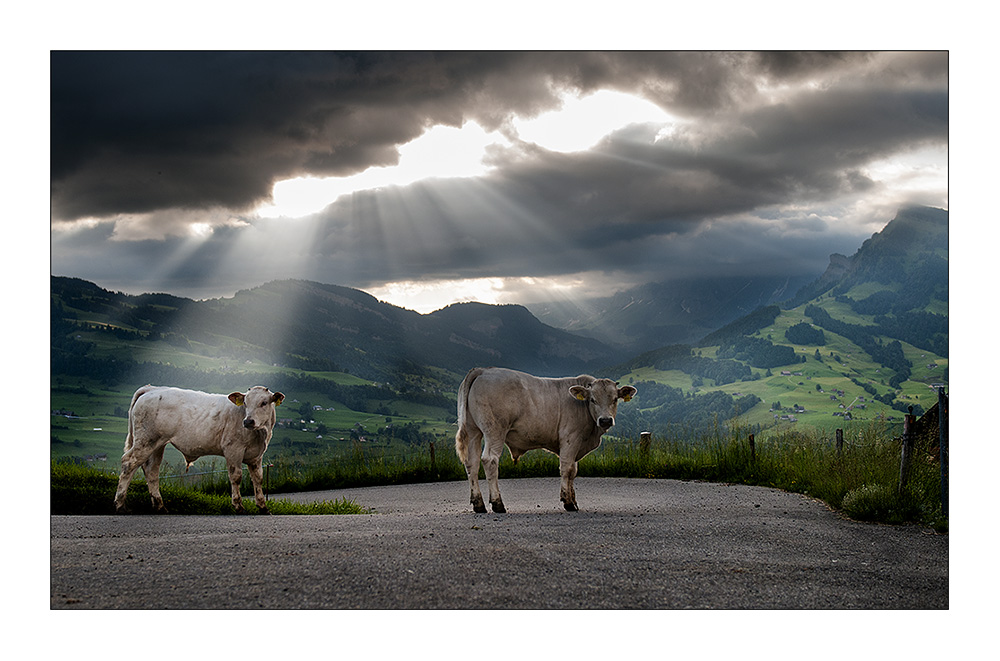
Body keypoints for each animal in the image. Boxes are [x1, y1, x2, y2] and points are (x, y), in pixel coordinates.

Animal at [114, 384, 286, 512]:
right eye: (245, 403)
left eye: (264, 403)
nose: (248, 421)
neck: (260, 434)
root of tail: (152, 389)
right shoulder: (233, 449)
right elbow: (236, 476)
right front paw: (238, 506)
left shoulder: (257, 455)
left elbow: (258, 478)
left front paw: (263, 506)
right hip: (146, 440)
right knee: (129, 463)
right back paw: (120, 505)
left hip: (157, 444)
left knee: (151, 470)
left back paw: (160, 506)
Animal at [458, 366, 636, 510]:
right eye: (593, 400)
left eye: (615, 399)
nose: (605, 420)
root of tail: (483, 370)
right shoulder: (570, 438)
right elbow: (566, 468)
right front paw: (568, 502)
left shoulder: (577, 443)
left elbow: (573, 471)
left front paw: (574, 501)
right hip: (495, 430)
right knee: (490, 460)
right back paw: (497, 504)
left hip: (473, 431)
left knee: (472, 463)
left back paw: (478, 504)